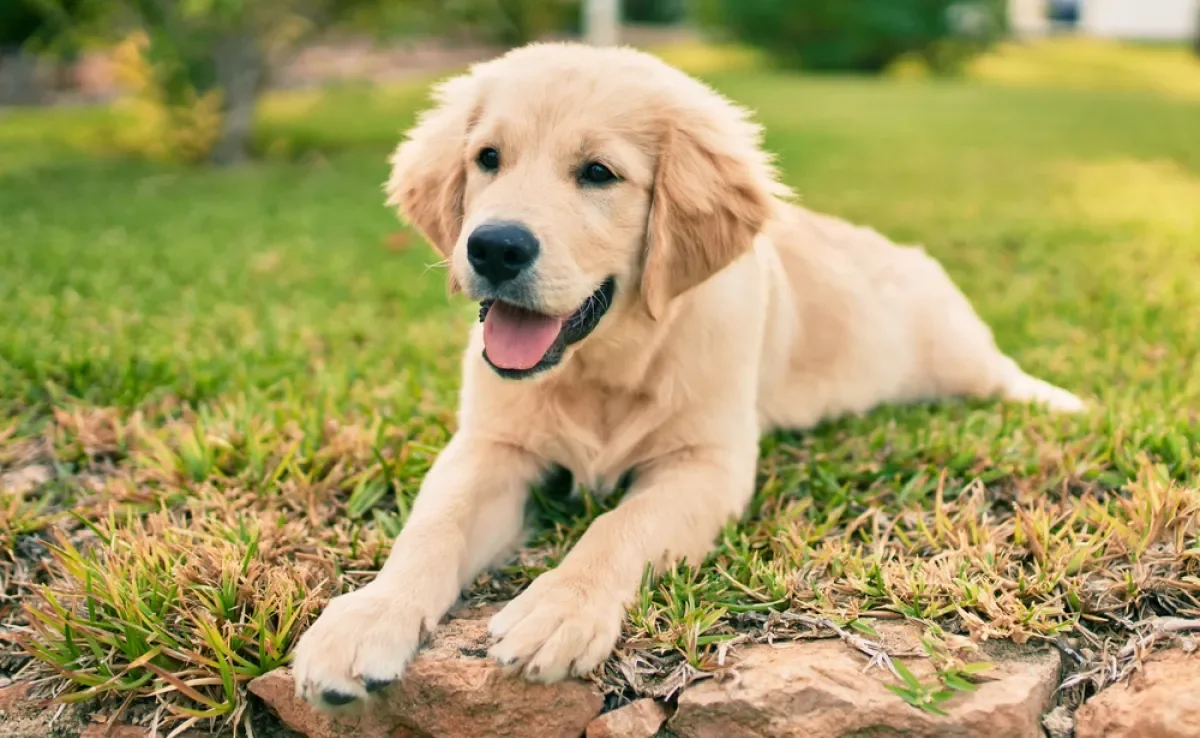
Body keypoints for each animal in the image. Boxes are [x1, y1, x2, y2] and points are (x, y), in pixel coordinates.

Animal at [292, 42, 1089, 710]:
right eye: (487, 158)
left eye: (599, 173)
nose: (492, 247)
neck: (605, 365)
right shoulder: (492, 445)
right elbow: (435, 524)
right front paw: (366, 618)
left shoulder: (707, 464)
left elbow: (620, 526)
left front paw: (560, 606)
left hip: (954, 348)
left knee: (1001, 374)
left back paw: (1065, 403)